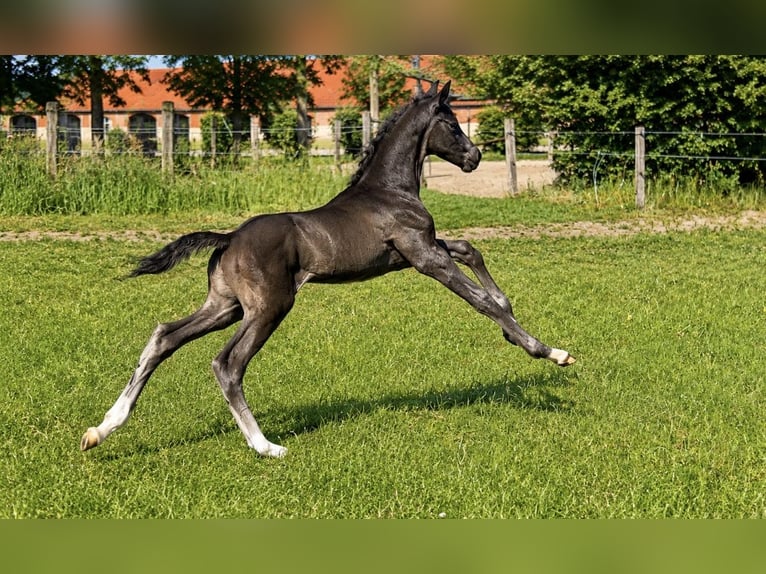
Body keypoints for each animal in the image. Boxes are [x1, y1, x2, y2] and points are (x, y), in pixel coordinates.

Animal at [80, 81, 575, 459]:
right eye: (452, 124)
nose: (473, 158)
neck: (389, 189)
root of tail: (228, 237)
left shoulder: (418, 252)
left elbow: (472, 252)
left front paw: (511, 323)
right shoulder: (423, 256)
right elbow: (479, 301)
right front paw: (548, 350)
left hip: (226, 305)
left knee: (164, 336)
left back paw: (101, 429)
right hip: (269, 307)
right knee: (227, 363)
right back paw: (266, 446)